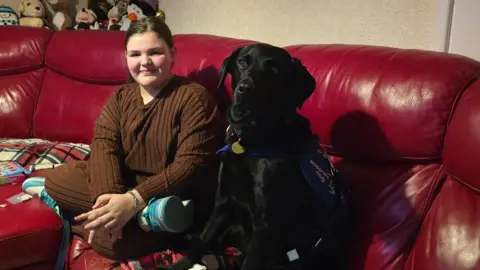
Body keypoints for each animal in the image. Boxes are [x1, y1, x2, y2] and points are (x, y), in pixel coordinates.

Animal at [161, 44, 352, 270]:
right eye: (242, 62)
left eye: (275, 69)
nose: (245, 89)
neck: (251, 139)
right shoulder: (223, 202)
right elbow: (202, 241)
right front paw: (178, 264)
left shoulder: (265, 224)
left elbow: (249, 262)